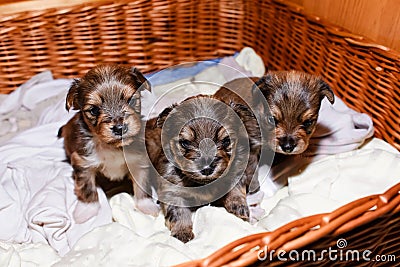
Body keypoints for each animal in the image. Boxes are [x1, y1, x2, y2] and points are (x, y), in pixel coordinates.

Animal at [58, 64, 159, 220]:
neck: (112, 146)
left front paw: (146, 206)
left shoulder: (139, 162)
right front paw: (86, 210)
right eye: (94, 110)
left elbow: (142, 184)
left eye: (131, 101)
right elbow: (87, 186)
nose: (120, 128)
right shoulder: (83, 163)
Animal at [145, 95, 258, 244]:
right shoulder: (172, 190)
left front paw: (238, 206)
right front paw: (182, 231)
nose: (207, 168)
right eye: (185, 143)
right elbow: (178, 212)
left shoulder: (237, 169)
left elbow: (236, 188)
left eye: (226, 141)